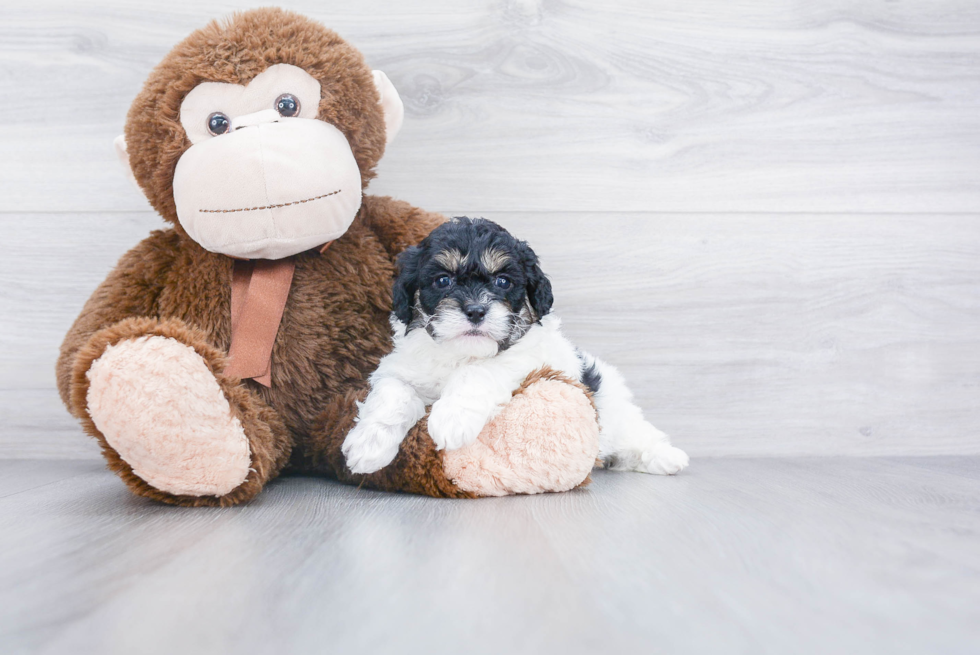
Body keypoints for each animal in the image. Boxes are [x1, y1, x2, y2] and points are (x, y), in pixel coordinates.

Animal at [342, 215, 688, 476]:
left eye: (503, 281)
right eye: (443, 280)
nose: (476, 310)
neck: (462, 354)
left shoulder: (528, 359)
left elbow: (478, 373)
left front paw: (451, 418)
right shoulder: (399, 369)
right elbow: (392, 393)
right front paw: (367, 446)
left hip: (618, 412)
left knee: (639, 437)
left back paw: (668, 458)